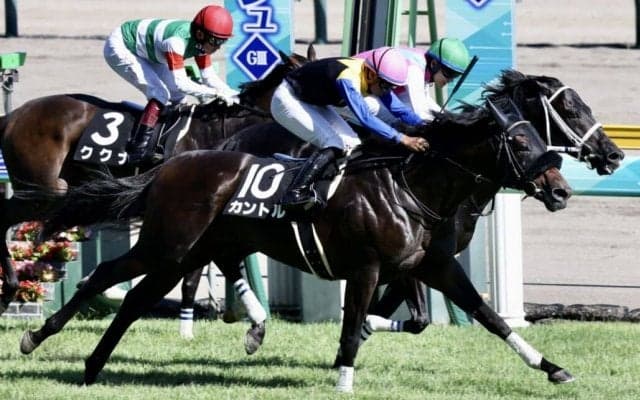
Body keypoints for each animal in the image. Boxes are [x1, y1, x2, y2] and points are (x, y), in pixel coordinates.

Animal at [20, 96, 573, 392]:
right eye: (519, 142)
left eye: (537, 134)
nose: (562, 191)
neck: (409, 186)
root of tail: (170, 165)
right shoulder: (367, 268)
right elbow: (351, 327)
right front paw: (344, 381)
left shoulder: (431, 265)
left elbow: (490, 315)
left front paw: (551, 367)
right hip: (167, 245)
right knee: (105, 277)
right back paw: (40, 339)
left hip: (187, 253)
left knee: (134, 298)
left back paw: (90, 365)